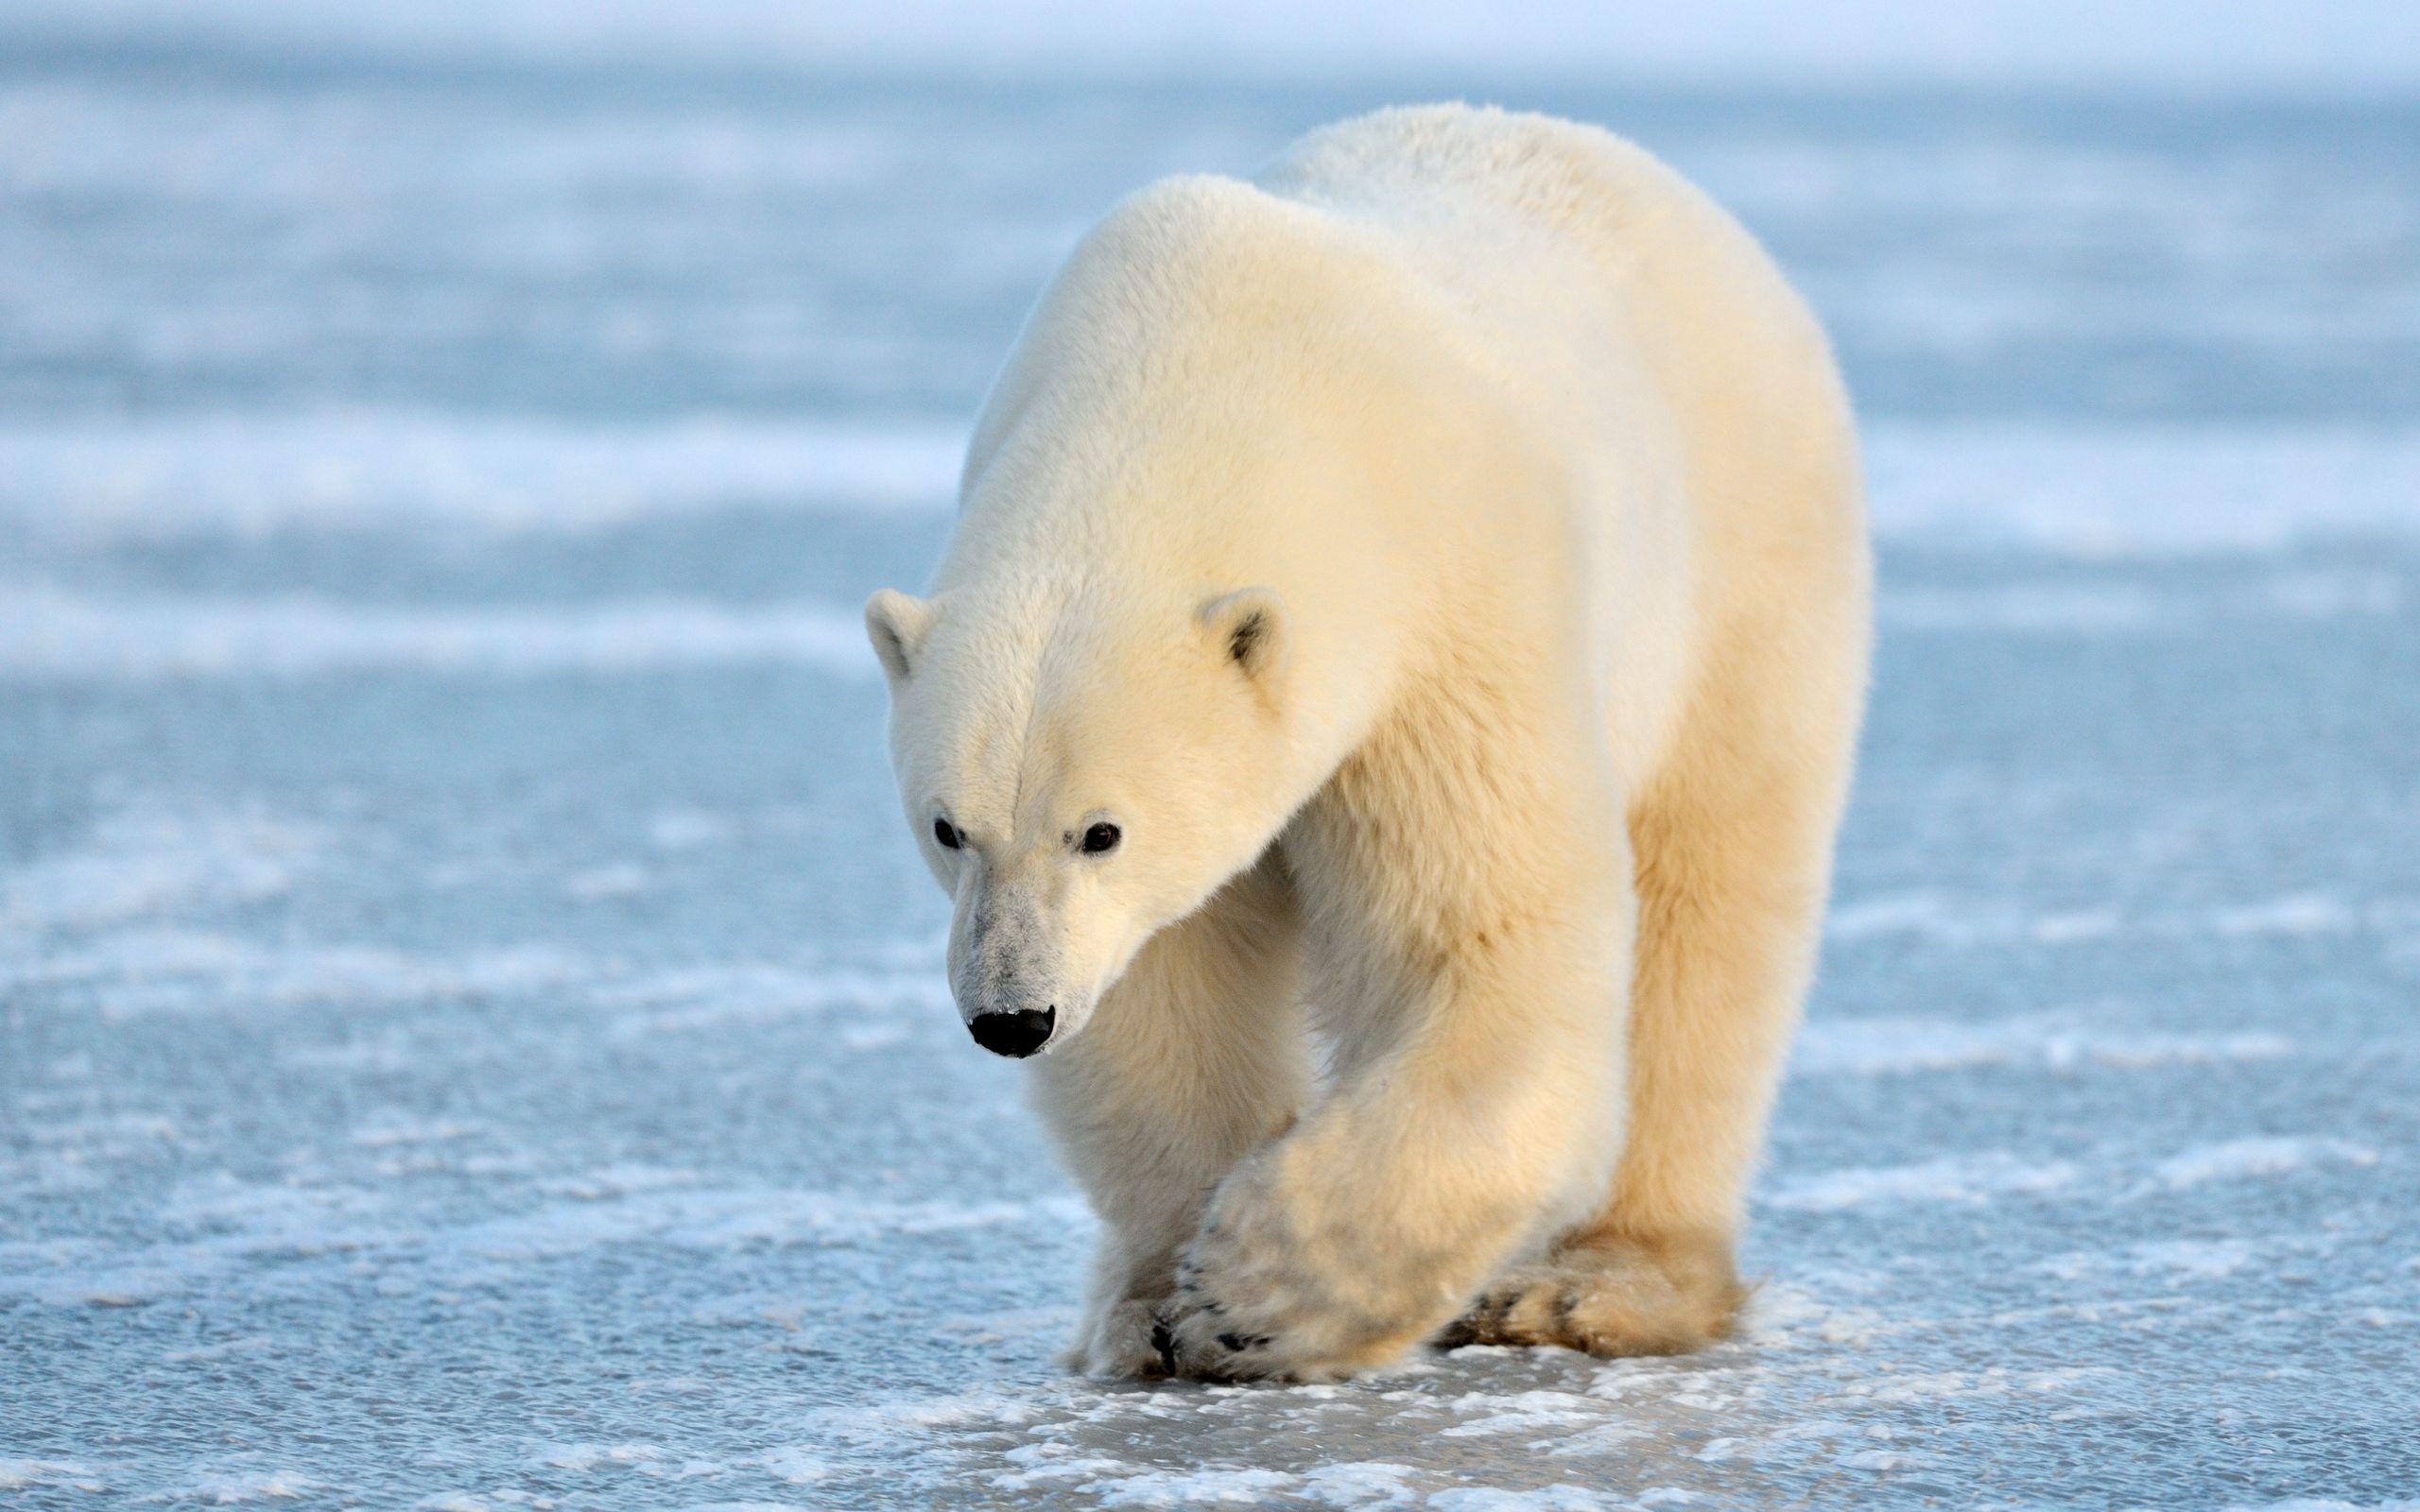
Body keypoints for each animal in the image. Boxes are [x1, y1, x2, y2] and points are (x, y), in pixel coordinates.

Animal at [865, 103, 1870, 1382]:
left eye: (1101, 830)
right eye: (948, 827)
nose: (1010, 1016)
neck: (1212, 375)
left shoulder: (1449, 618)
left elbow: (1482, 945)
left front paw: (1255, 1292)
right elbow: (1161, 990)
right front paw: (1159, 1304)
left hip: (1742, 577)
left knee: (1712, 913)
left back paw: (1599, 1285)